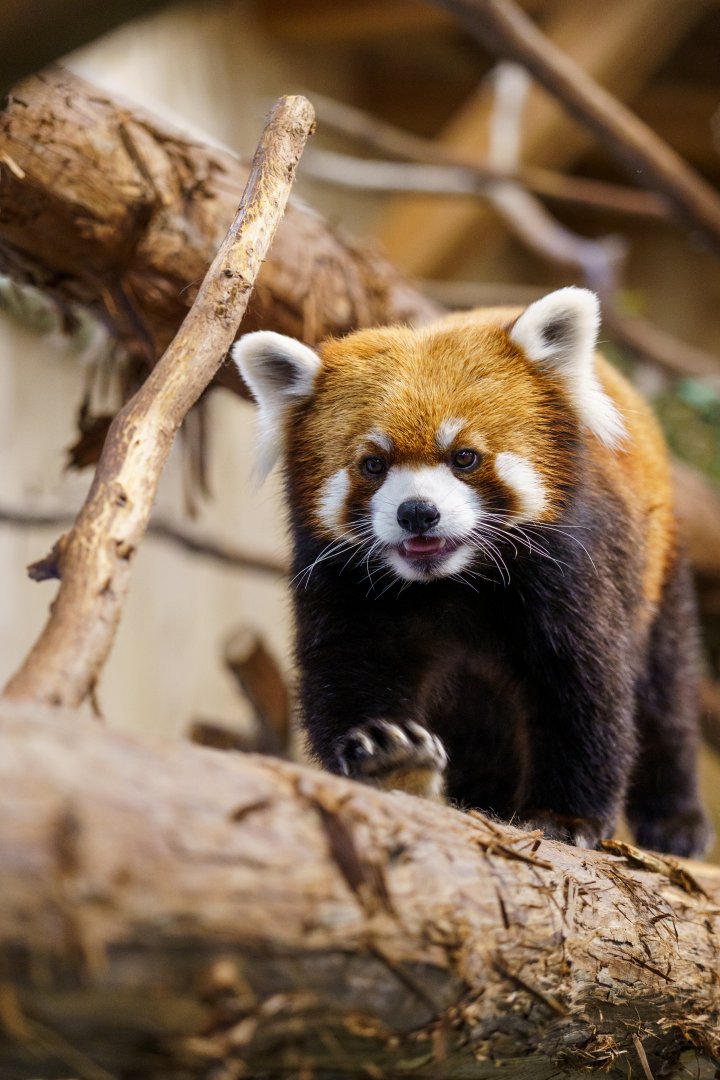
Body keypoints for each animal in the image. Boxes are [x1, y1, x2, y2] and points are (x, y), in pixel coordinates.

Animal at [233, 287, 710, 856]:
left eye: (464, 457)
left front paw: (565, 816)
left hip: (660, 568)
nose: (417, 512)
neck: (452, 582)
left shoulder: (573, 569)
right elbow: (348, 674)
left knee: (667, 690)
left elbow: (584, 687)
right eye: (374, 465)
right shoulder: (342, 583)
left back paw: (676, 821)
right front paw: (388, 758)